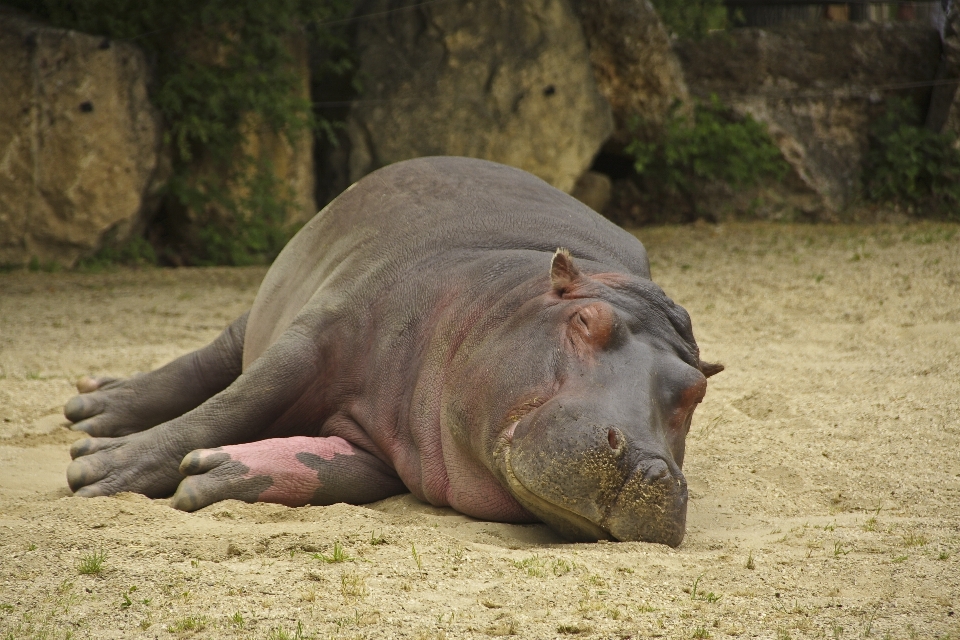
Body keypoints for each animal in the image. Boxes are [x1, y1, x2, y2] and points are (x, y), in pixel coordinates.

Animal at [63, 158, 720, 548]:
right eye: (586, 320)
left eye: (697, 390)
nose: (648, 466)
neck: (505, 293)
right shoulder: (317, 334)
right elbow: (227, 407)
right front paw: (94, 472)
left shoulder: (394, 440)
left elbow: (334, 466)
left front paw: (210, 474)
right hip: (264, 312)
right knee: (212, 363)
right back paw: (91, 408)